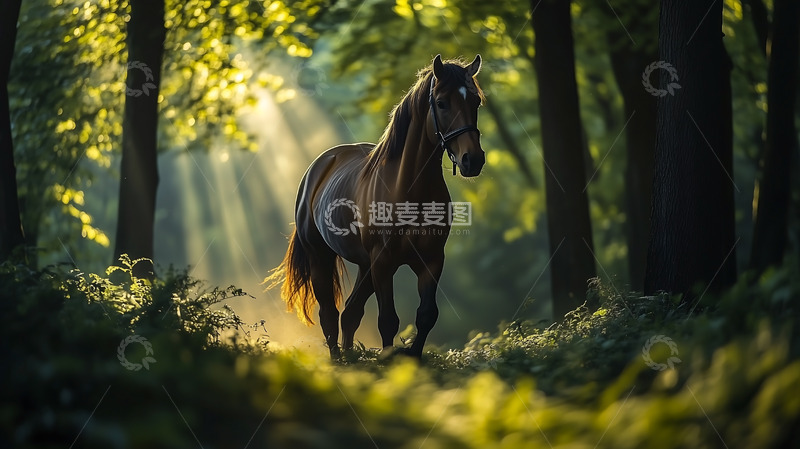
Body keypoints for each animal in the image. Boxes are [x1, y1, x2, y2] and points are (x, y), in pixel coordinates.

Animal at [265, 54, 485, 358]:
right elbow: (388, 320)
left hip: (365, 266)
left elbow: (426, 315)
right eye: (441, 103)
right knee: (329, 315)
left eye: (475, 101)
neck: (409, 190)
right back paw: (337, 359)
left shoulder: (431, 261)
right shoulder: (383, 262)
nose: (472, 160)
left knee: (350, 313)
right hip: (321, 257)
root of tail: (319, 166)